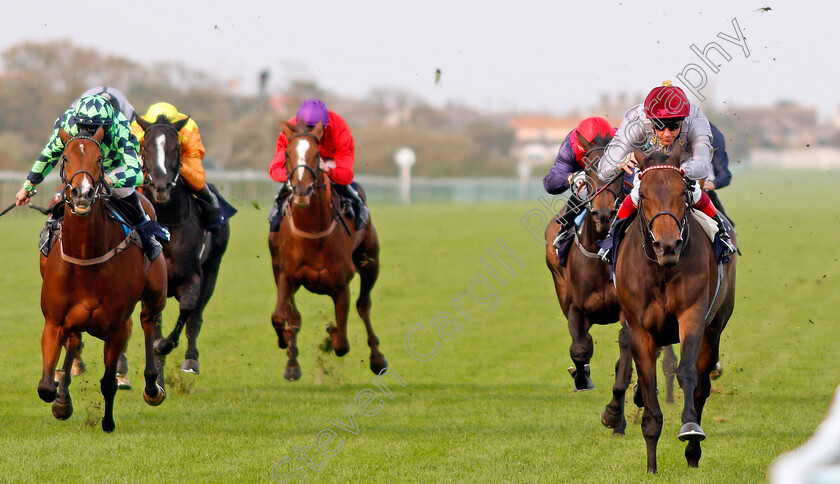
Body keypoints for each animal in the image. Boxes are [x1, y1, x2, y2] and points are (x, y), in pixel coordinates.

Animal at [37, 127, 168, 432]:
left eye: (98, 159)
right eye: (65, 157)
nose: (82, 193)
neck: (87, 260)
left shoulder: (117, 327)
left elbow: (108, 382)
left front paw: (107, 422)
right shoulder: (54, 321)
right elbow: (45, 387)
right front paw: (61, 402)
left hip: (155, 293)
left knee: (149, 321)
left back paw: (153, 386)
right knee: (74, 341)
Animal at [135, 113, 233, 374]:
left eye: (176, 148)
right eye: (145, 147)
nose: (160, 186)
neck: (167, 224)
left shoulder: (192, 276)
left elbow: (188, 309)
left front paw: (164, 346)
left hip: (214, 267)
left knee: (196, 315)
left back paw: (190, 359)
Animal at [270, 119, 388, 380]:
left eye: (316, 155)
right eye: (287, 153)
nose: (301, 190)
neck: (314, 232)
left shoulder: (341, 286)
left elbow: (342, 344)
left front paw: (332, 331)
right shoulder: (286, 276)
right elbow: (279, 317)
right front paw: (285, 343)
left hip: (371, 261)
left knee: (364, 305)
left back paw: (377, 357)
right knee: (293, 316)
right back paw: (292, 361)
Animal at [612, 145, 740, 472]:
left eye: (682, 192)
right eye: (643, 195)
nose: (667, 246)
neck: (662, 270)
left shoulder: (692, 316)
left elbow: (687, 374)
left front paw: (690, 429)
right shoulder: (640, 328)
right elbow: (648, 383)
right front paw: (651, 462)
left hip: (714, 327)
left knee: (702, 383)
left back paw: (693, 453)